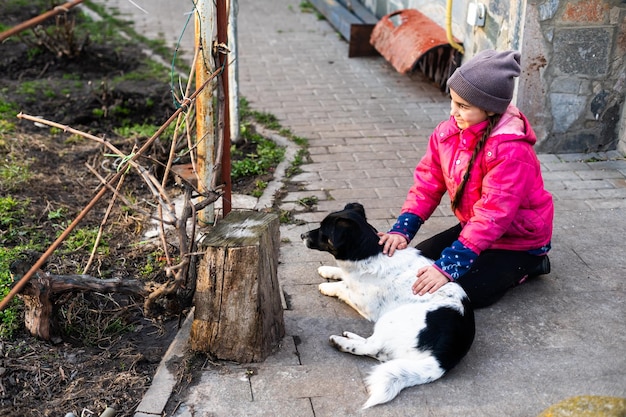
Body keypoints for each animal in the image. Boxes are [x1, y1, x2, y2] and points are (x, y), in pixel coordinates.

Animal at [298, 203, 472, 408]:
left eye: (323, 230)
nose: (301, 235)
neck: (370, 251)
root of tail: (446, 356)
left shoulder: (363, 302)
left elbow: (343, 287)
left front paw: (327, 286)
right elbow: (342, 275)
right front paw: (327, 270)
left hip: (392, 318)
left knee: (372, 347)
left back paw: (341, 342)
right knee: (380, 351)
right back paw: (351, 336)